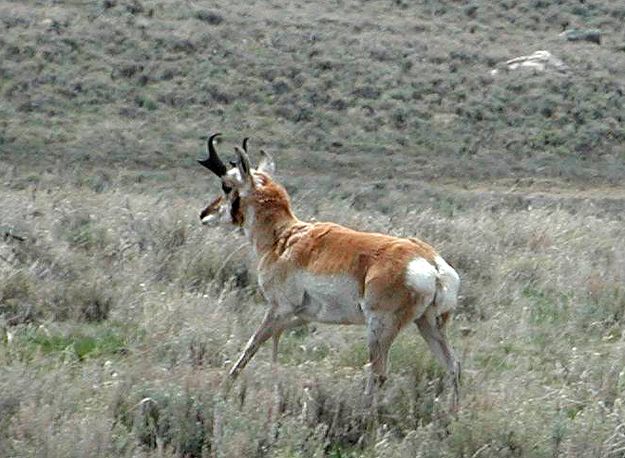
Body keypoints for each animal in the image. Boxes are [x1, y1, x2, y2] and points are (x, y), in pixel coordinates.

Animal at [197, 134, 460, 406]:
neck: (284, 237)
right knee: (452, 366)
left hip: (380, 328)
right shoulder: (301, 316)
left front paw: (226, 386)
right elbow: (275, 341)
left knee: (378, 373)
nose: (204, 214)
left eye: (226, 186)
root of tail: (433, 265)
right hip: (429, 325)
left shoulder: (279, 309)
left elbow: (252, 344)